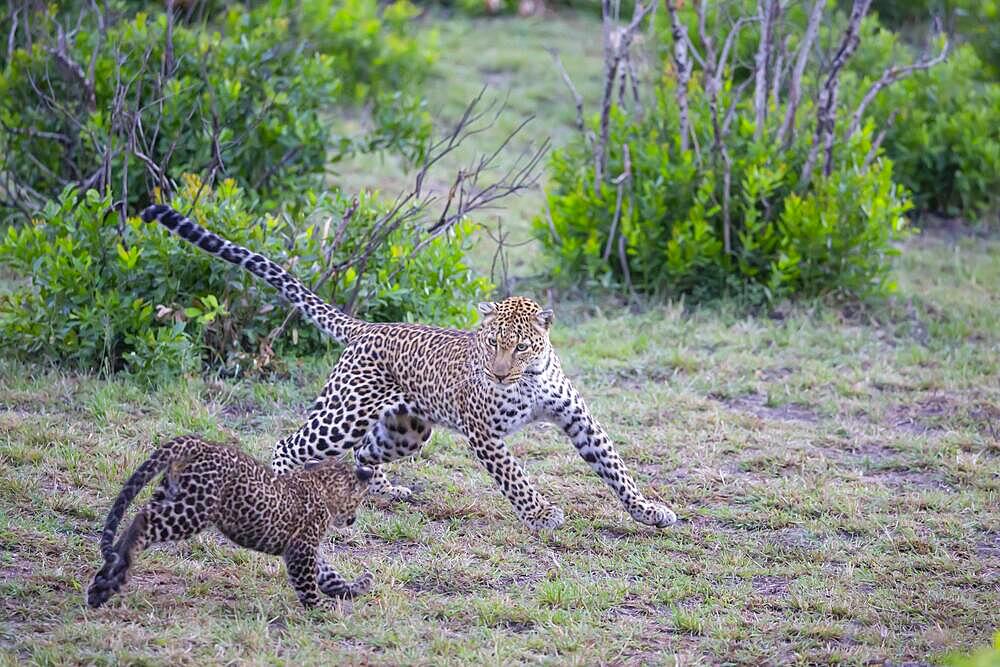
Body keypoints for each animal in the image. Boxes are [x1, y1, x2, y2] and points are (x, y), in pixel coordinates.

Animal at [143, 205, 672, 532]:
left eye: (521, 347)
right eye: (492, 344)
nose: (499, 374)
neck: (530, 379)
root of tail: (366, 327)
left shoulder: (578, 419)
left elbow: (615, 467)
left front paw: (649, 511)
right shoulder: (484, 433)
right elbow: (515, 476)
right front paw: (541, 514)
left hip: (407, 429)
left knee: (364, 455)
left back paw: (388, 491)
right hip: (345, 414)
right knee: (289, 445)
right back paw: (283, 493)